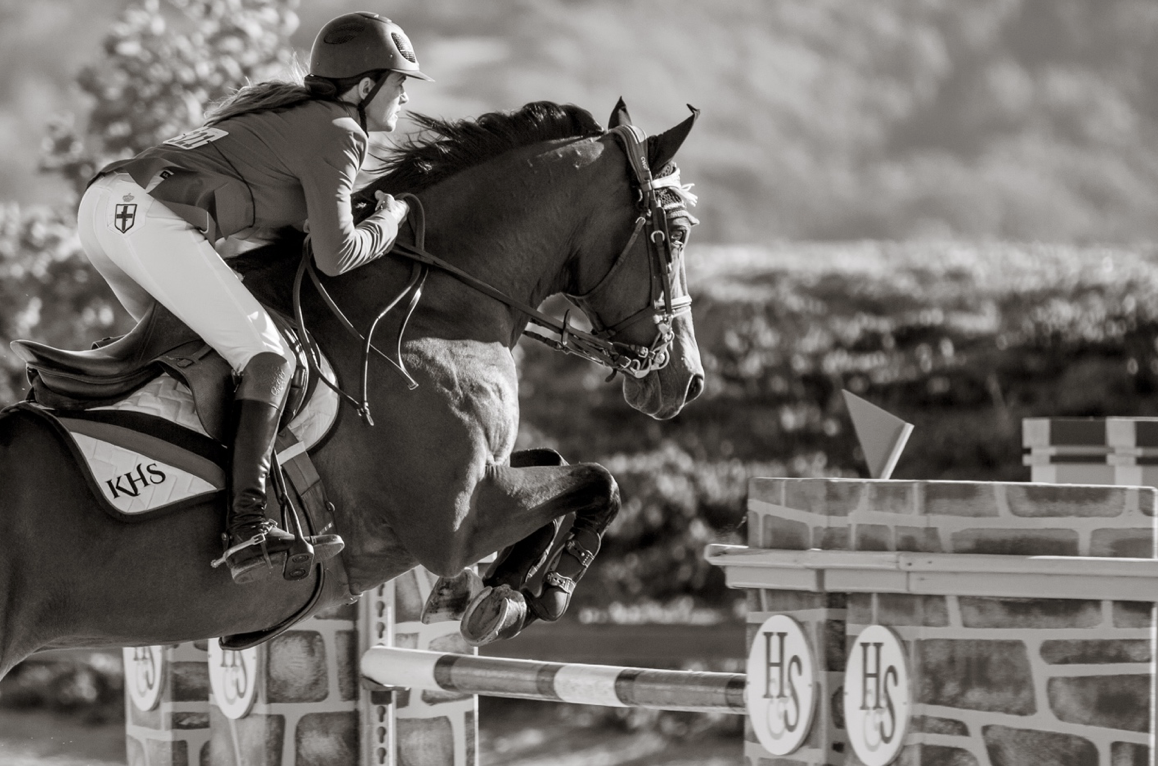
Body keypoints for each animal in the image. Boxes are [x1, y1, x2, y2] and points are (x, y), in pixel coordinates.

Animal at [0, 98, 704, 676]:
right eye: (674, 234)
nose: (686, 382)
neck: (437, 305)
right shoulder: (457, 522)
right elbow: (598, 481)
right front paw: (538, 593)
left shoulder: (489, 478)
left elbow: (561, 464)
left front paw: (499, 593)